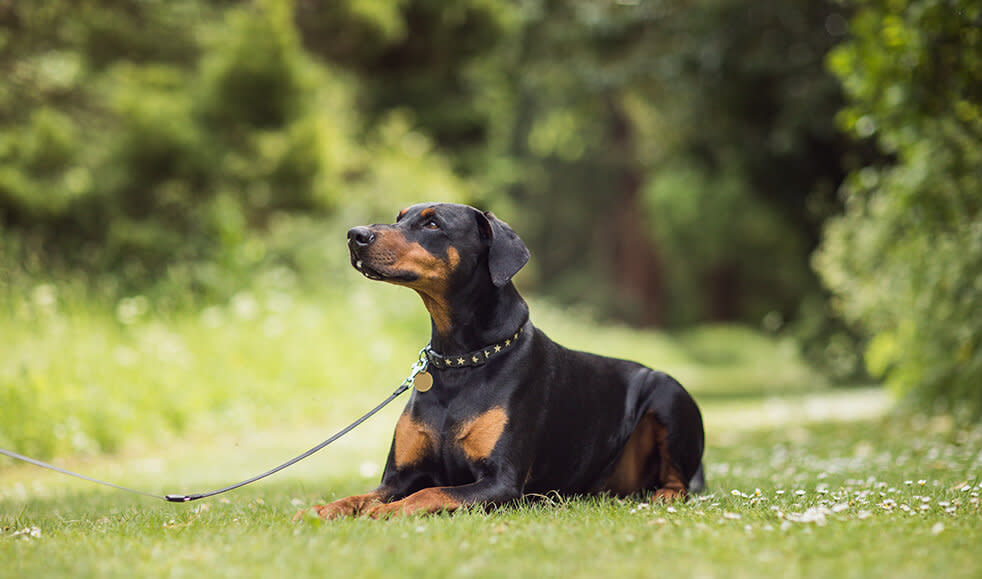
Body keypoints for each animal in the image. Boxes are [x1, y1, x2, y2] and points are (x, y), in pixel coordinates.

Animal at [312, 204, 704, 520]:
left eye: (433, 224)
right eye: (399, 217)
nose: (355, 235)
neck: (460, 361)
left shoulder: (502, 481)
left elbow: (430, 492)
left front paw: (388, 511)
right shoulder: (398, 477)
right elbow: (359, 497)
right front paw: (319, 510)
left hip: (667, 392)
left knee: (680, 482)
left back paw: (665, 495)